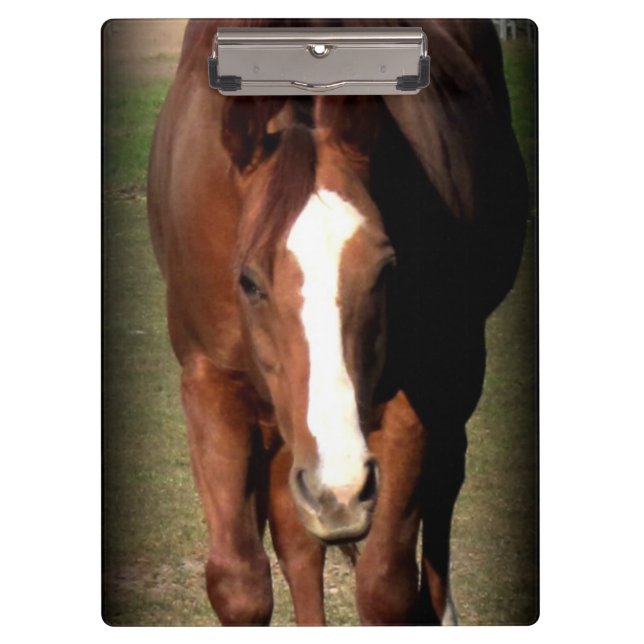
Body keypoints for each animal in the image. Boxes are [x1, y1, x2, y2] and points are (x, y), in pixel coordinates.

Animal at [147, 18, 528, 625]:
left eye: (385, 271)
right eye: (249, 282)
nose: (341, 490)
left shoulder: (415, 393)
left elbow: (385, 585)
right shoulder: (211, 383)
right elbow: (241, 583)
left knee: (445, 484)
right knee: (298, 542)